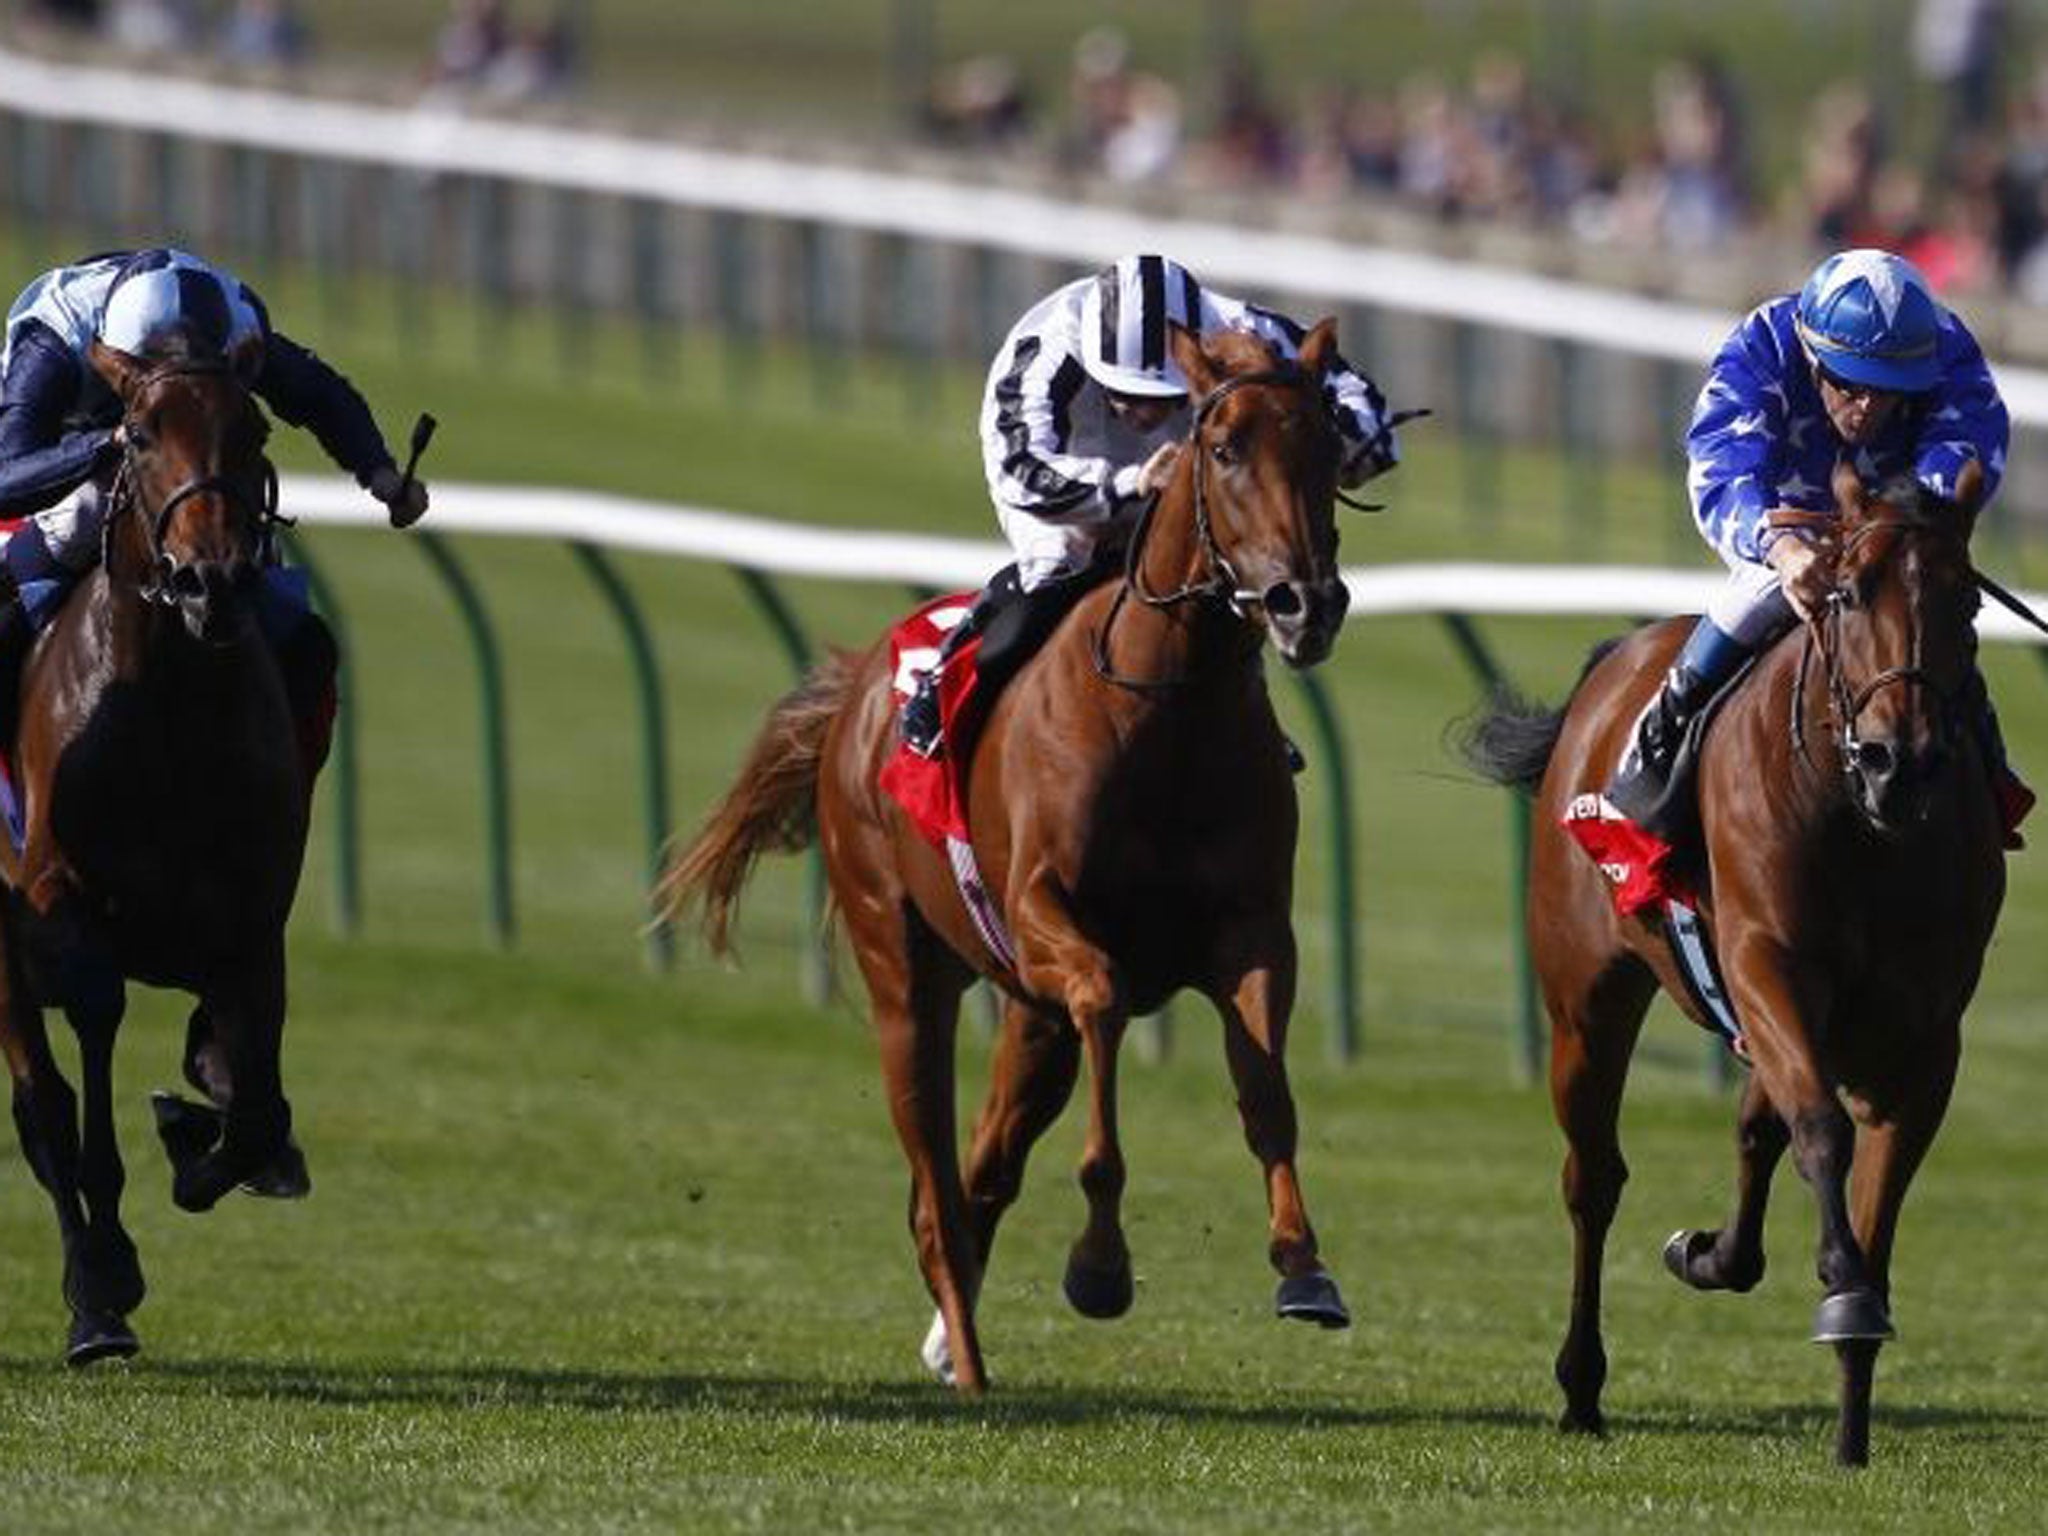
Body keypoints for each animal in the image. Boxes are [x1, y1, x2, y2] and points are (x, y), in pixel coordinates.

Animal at [0, 342, 311, 1368]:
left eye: (254, 427)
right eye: (137, 434)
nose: (210, 582)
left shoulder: (253, 923)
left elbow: (254, 1115)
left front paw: (196, 1131)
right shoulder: (54, 902)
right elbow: (83, 1057)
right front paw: (103, 1277)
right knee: (47, 1107)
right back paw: (96, 1295)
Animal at [655, 321, 1359, 1392]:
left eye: (1325, 446)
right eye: (1224, 447)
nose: (1301, 604)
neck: (1169, 710)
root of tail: (859, 688)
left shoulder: (1250, 935)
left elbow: (1267, 1094)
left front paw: (1304, 1267)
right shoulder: (1045, 918)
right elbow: (1106, 1010)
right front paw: (1099, 1266)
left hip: (1028, 1018)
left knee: (983, 1170)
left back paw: (954, 1344)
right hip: (906, 973)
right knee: (935, 1193)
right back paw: (974, 1368)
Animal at [1466, 460, 2007, 1466]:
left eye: (1966, 600)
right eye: (1847, 592)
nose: (1900, 763)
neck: (1863, 829)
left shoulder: (1920, 1038)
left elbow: (1870, 1195)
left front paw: (1853, 1407)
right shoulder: (1767, 965)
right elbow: (1824, 1134)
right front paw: (1841, 1294)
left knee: (1757, 1130)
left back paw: (1713, 1255)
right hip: (1586, 1002)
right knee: (1594, 1178)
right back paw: (1581, 1387)